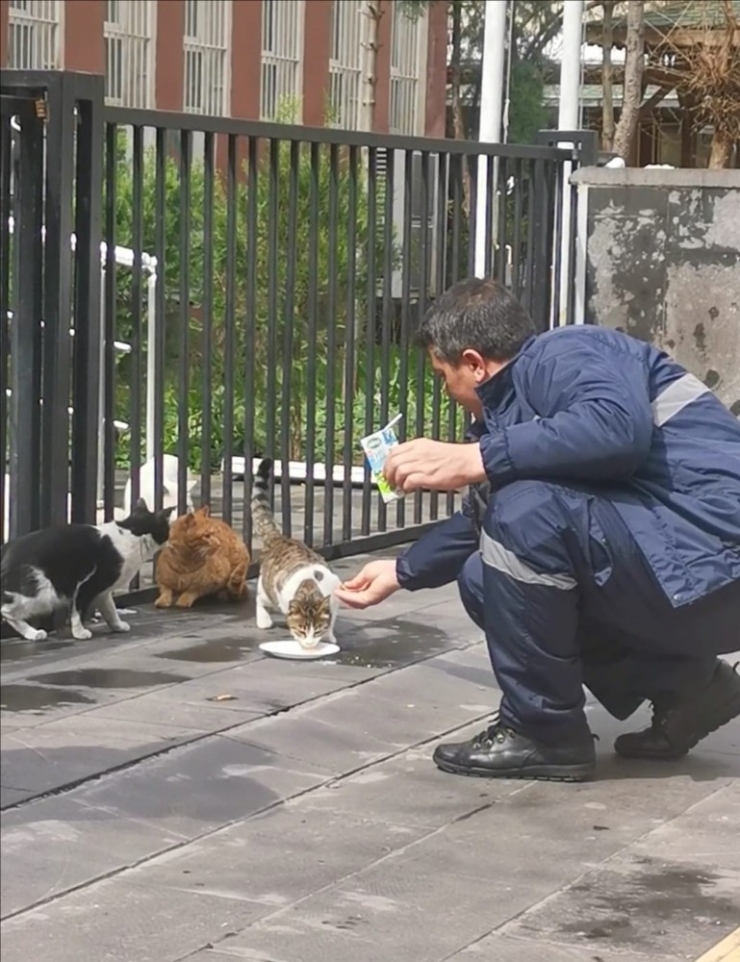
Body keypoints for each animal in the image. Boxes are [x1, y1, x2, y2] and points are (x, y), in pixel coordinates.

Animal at [0, 498, 173, 640]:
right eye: (168, 530)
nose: (170, 539)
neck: (131, 533)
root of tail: (6, 548)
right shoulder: (87, 585)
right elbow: (77, 611)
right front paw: (79, 632)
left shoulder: (103, 591)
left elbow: (110, 609)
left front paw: (117, 626)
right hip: (43, 594)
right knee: (6, 611)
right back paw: (34, 633)